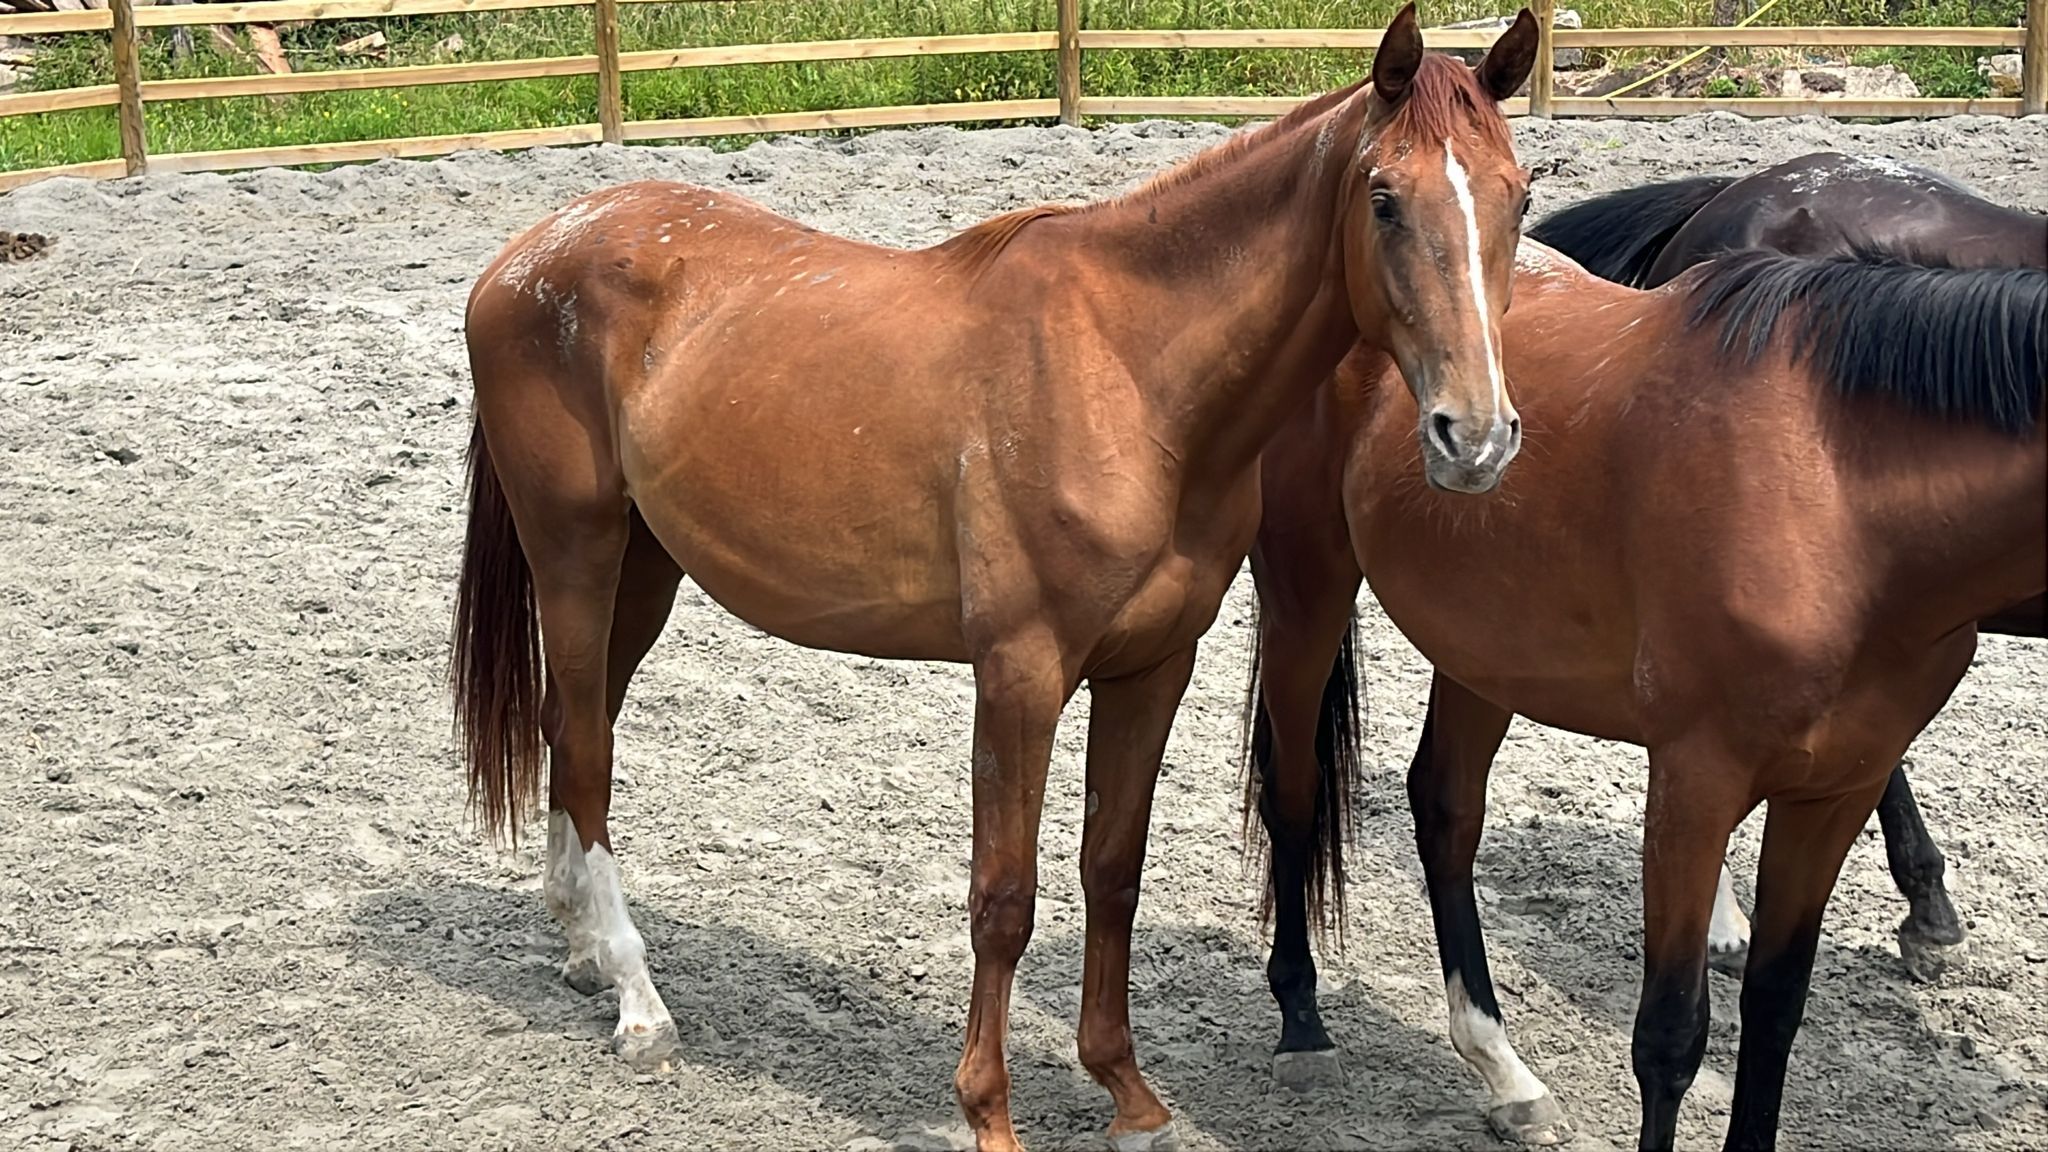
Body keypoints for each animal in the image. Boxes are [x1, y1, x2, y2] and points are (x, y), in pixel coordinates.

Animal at [450, 9, 1540, 1149]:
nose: (1473, 437)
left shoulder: (1153, 668)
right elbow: (1004, 896)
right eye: (1383, 197)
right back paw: (638, 1001)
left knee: (569, 728)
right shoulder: (1019, 674)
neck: (1132, 374)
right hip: (575, 555)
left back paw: (582, 950)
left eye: (1519, 195)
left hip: (645, 570)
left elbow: (1112, 872)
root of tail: (531, 251)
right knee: (586, 751)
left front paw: (1127, 1093)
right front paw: (988, 1113)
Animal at [1242, 240, 2045, 1149]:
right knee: (1295, 791)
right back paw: (1303, 1024)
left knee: (1445, 811)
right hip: (1307, 589)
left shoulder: (1838, 791)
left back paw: (1503, 1069)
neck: (1837, 496)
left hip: (1486, 648)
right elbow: (1670, 1035)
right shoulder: (1696, 787)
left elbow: (1777, 1006)